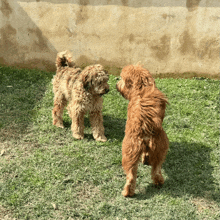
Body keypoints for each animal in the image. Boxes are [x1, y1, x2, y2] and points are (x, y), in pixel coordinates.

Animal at [116, 64, 169, 197]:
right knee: (156, 170)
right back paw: (158, 182)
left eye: (122, 78)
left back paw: (127, 192)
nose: (116, 84)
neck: (142, 88)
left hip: (129, 153)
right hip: (159, 149)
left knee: (131, 176)